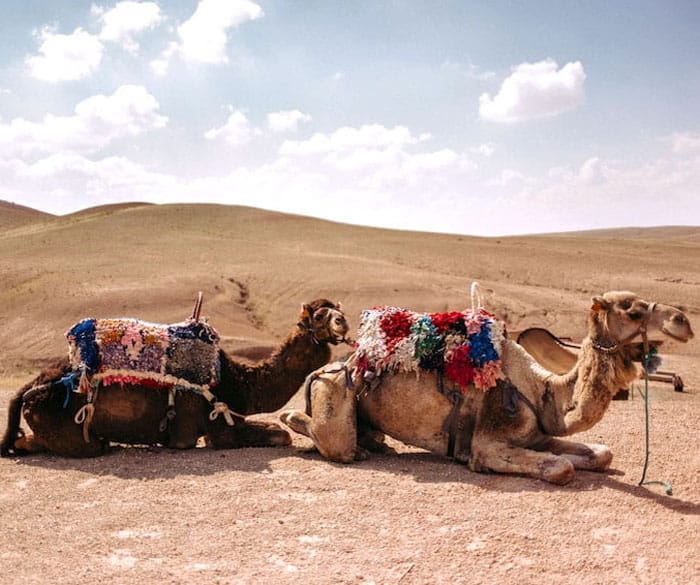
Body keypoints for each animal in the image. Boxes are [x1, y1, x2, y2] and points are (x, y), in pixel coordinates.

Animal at [0, 296, 350, 456]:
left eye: (338, 311)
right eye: (320, 315)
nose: (343, 322)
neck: (240, 383)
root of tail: (28, 390)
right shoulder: (218, 429)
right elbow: (281, 434)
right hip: (70, 432)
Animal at [278, 290, 688, 484]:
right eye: (632, 310)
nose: (683, 320)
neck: (542, 390)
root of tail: (330, 367)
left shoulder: (538, 435)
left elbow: (602, 454)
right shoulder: (490, 440)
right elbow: (560, 468)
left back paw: (375, 443)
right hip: (334, 390)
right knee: (329, 437)